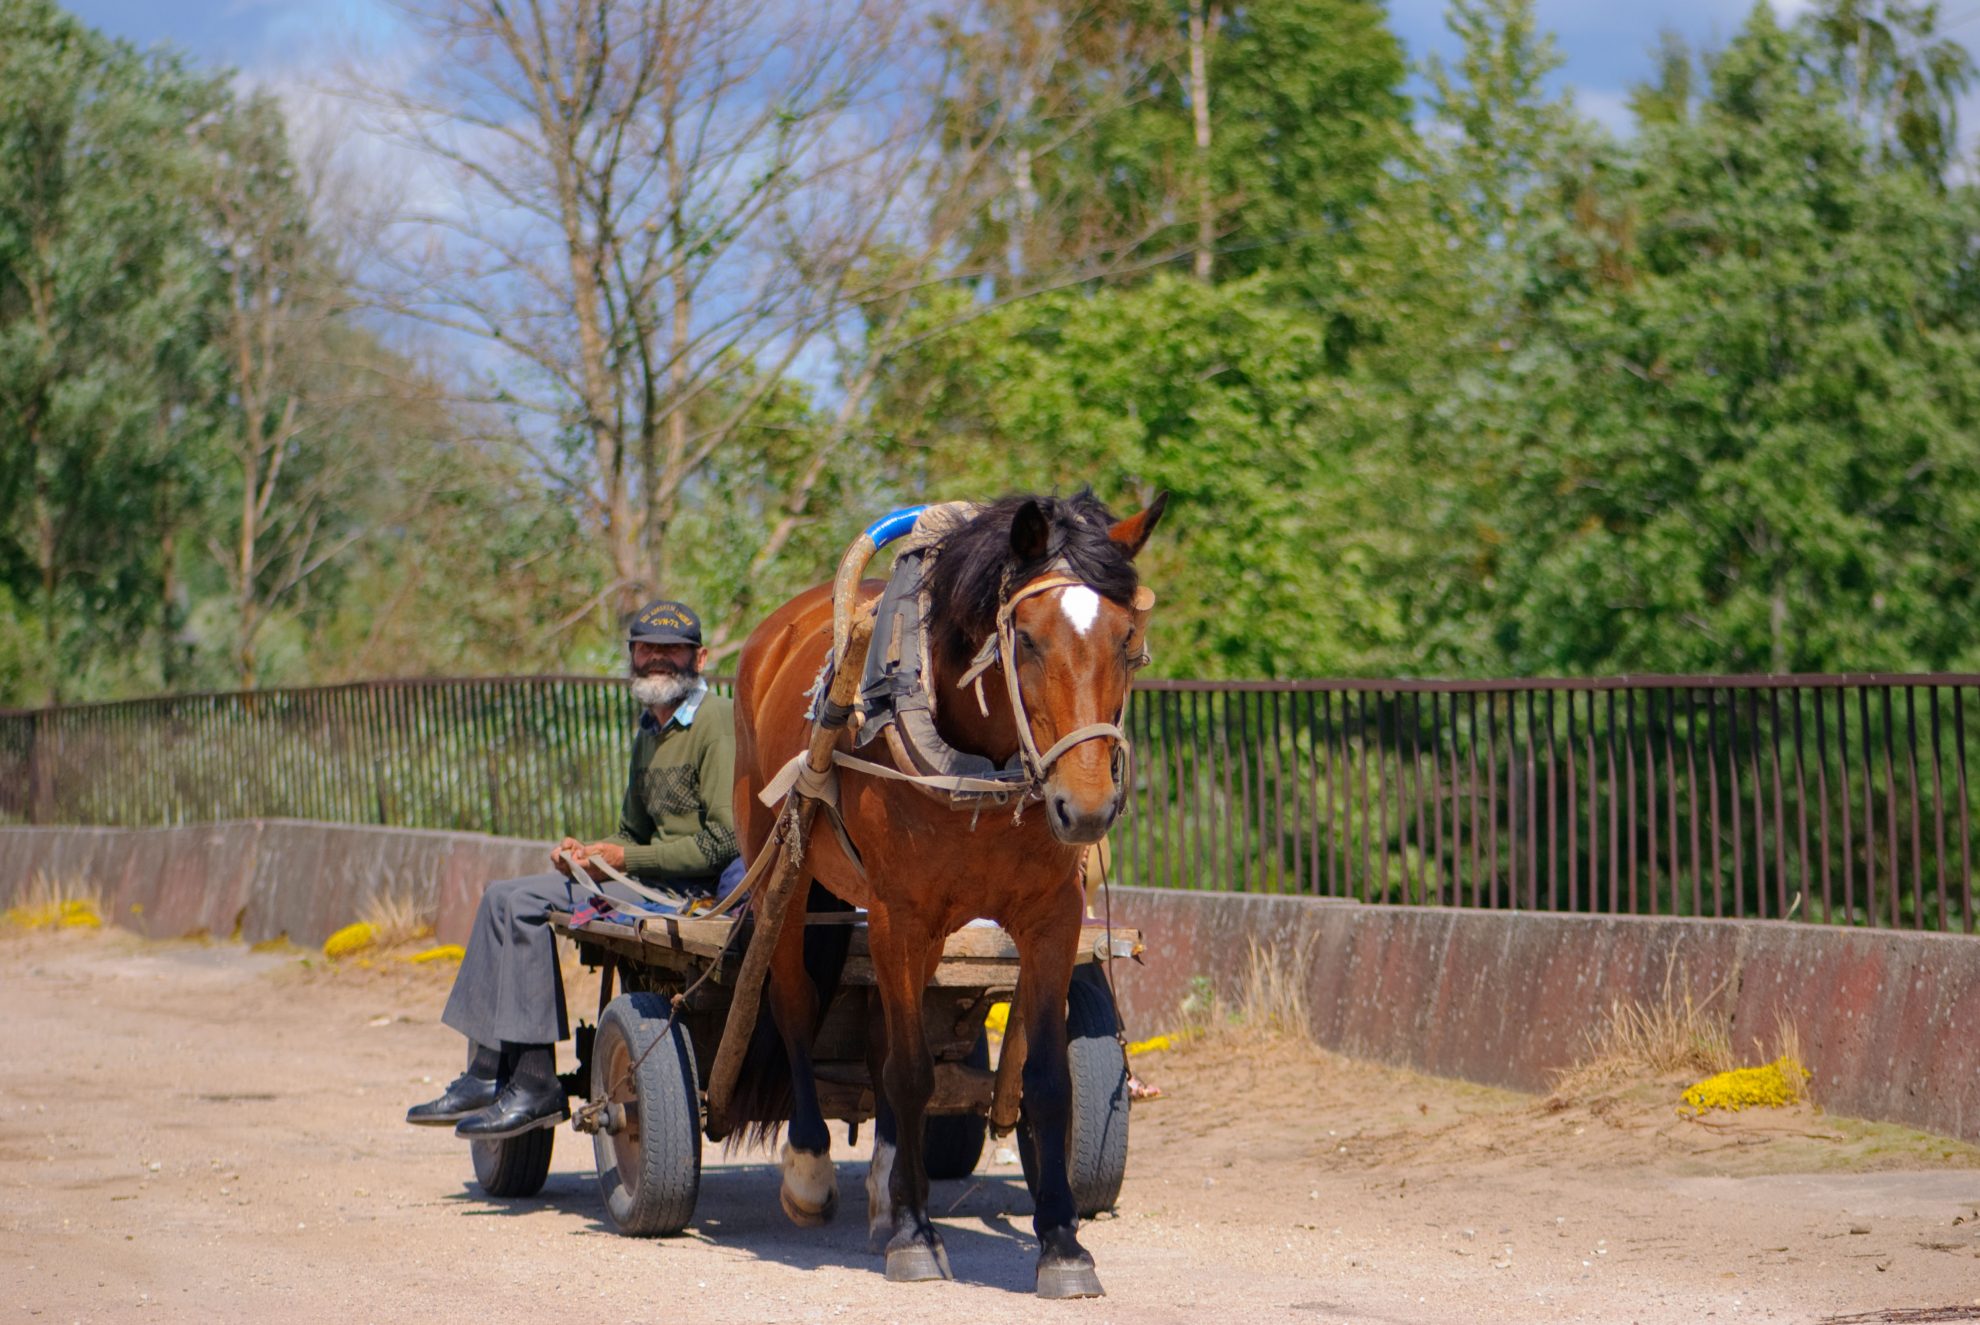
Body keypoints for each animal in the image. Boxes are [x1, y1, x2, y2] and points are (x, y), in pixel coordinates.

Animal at [728, 489, 1156, 1291]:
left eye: (1126, 638)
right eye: (1027, 639)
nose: (1086, 807)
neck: (978, 767)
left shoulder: (1052, 917)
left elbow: (1044, 1080)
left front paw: (1062, 1241)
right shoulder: (898, 912)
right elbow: (910, 1073)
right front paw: (916, 1237)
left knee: (883, 1032)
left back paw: (890, 1187)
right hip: (786, 868)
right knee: (795, 1000)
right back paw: (812, 1168)